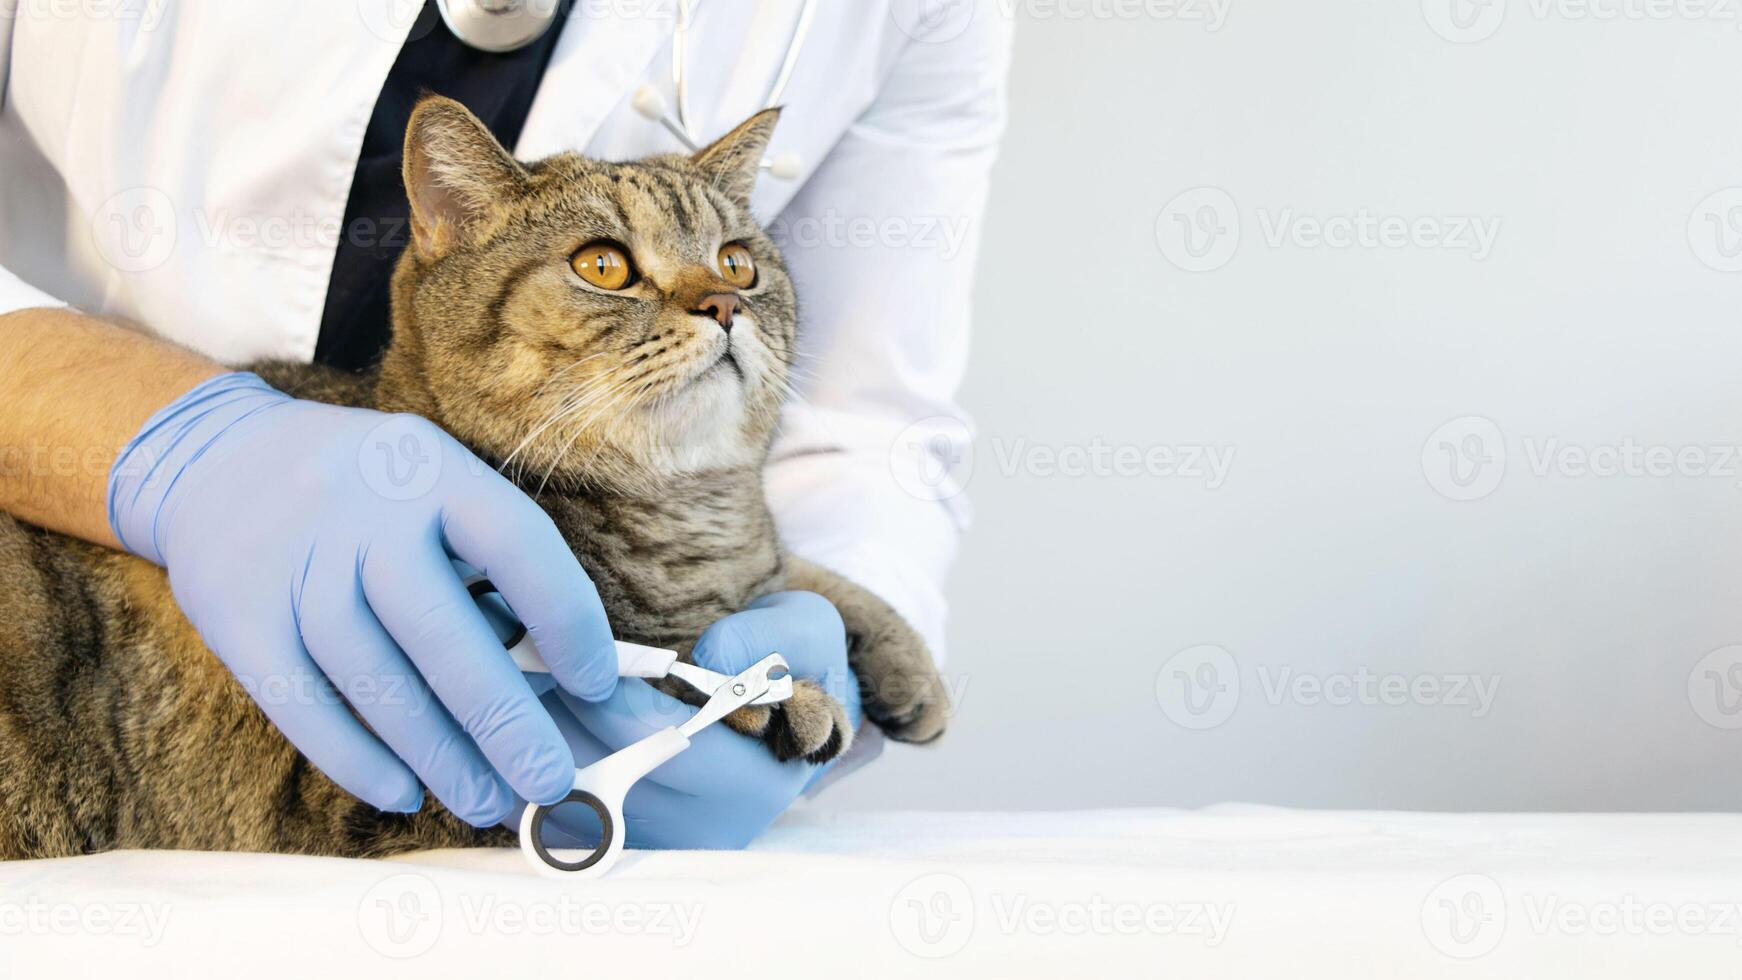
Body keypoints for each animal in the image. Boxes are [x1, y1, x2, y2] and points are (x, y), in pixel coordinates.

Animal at [0, 97, 954, 859]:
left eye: (737, 264)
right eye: (603, 265)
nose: (724, 305)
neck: (685, 517)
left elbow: (802, 572)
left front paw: (899, 654)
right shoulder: (384, 783)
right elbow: (660, 659)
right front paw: (777, 694)